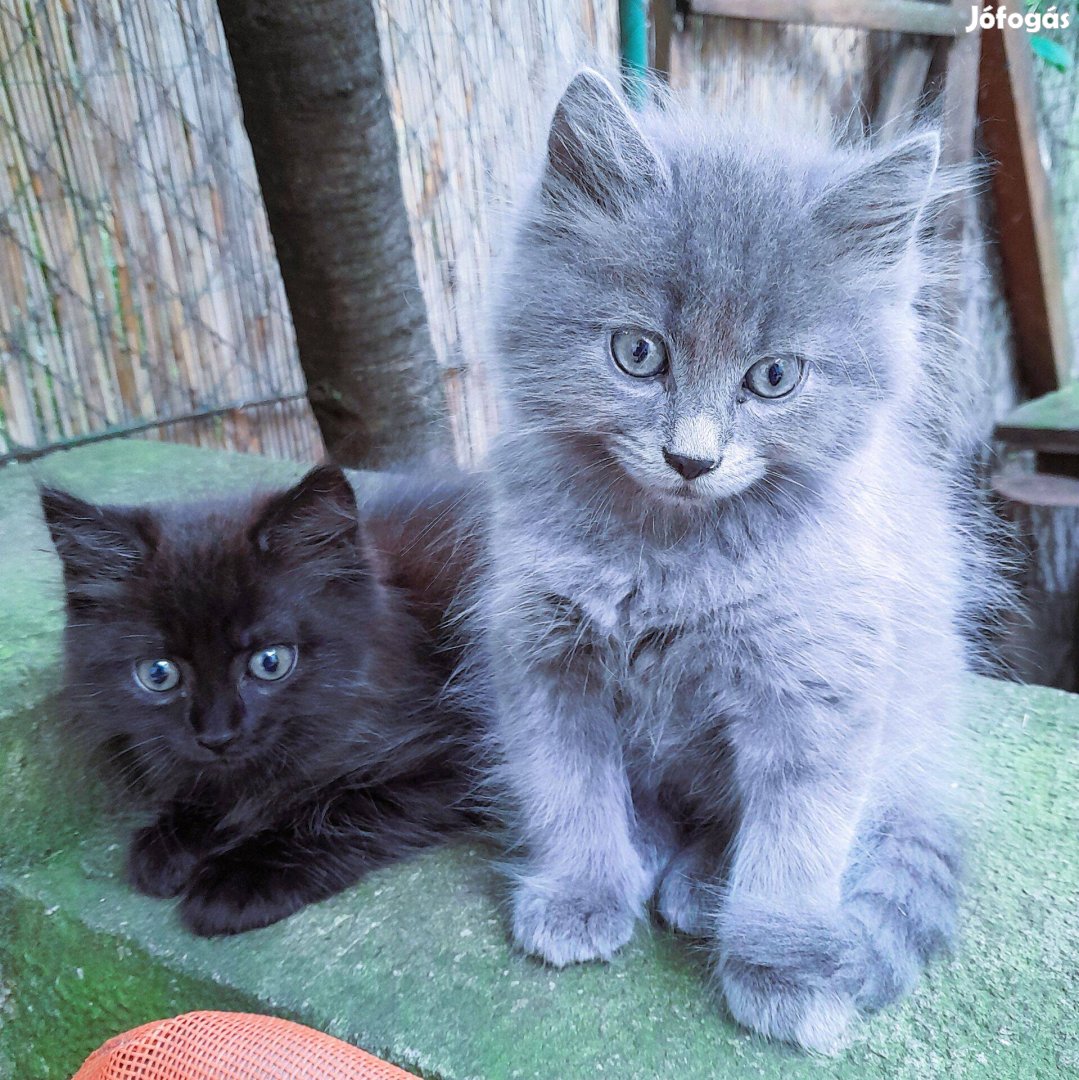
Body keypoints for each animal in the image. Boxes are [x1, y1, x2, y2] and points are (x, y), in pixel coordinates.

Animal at [39, 466, 483, 937]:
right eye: (158, 674)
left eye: (271, 662)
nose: (217, 735)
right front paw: (175, 833)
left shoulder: (460, 751)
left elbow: (350, 803)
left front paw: (242, 874)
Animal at [486, 73, 985, 1054]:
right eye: (637, 353)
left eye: (774, 378)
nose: (691, 458)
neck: (669, 555)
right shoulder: (543, 654)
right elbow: (569, 789)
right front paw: (582, 890)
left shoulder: (818, 682)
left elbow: (796, 846)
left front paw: (780, 964)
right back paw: (647, 854)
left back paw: (701, 884)